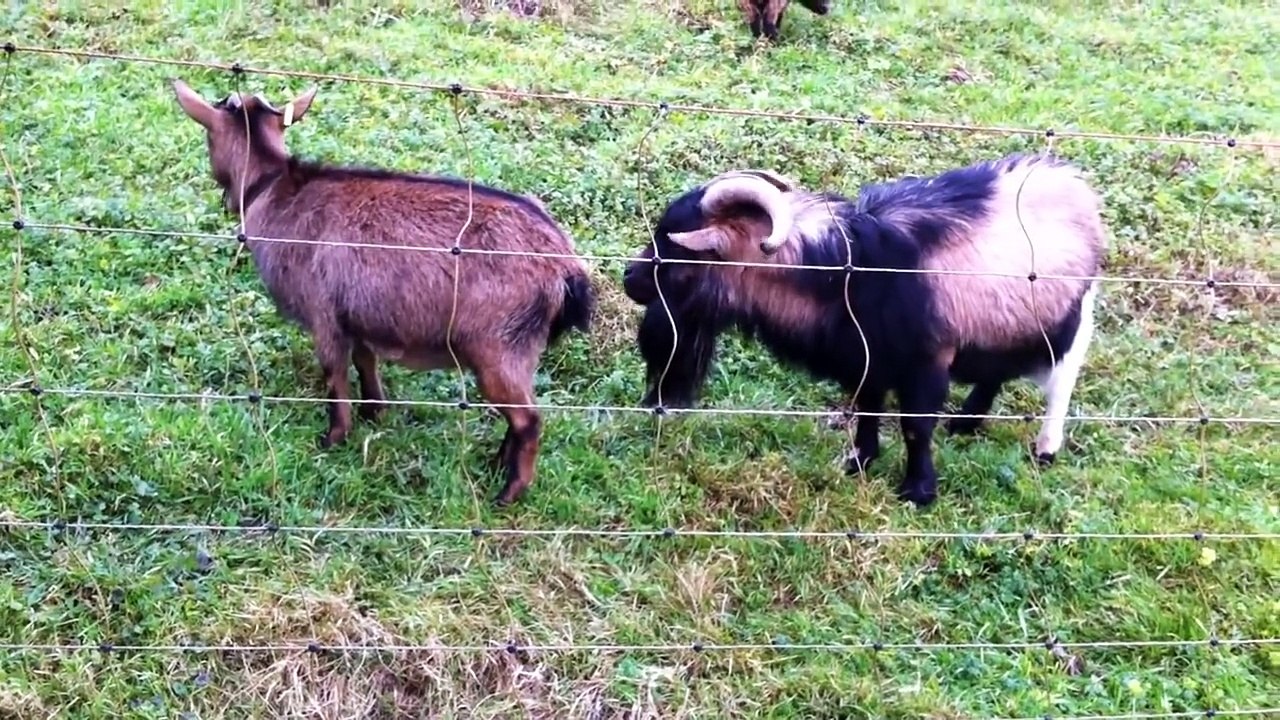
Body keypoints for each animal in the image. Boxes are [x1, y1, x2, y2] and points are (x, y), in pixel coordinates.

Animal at [170, 79, 596, 506]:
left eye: (208, 135)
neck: (273, 188)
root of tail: (566, 267)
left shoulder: (323, 314)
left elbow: (335, 375)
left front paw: (334, 437)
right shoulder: (356, 315)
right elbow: (365, 361)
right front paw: (375, 411)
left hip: (500, 345)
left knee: (529, 419)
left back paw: (508, 492)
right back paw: (496, 464)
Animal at [621, 154, 1106, 506]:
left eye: (676, 244)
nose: (629, 278)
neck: (846, 272)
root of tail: (1076, 186)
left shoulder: (926, 361)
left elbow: (915, 427)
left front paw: (917, 492)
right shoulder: (866, 358)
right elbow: (868, 408)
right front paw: (859, 461)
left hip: (1070, 319)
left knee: (1061, 381)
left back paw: (1045, 449)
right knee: (994, 373)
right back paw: (966, 423)